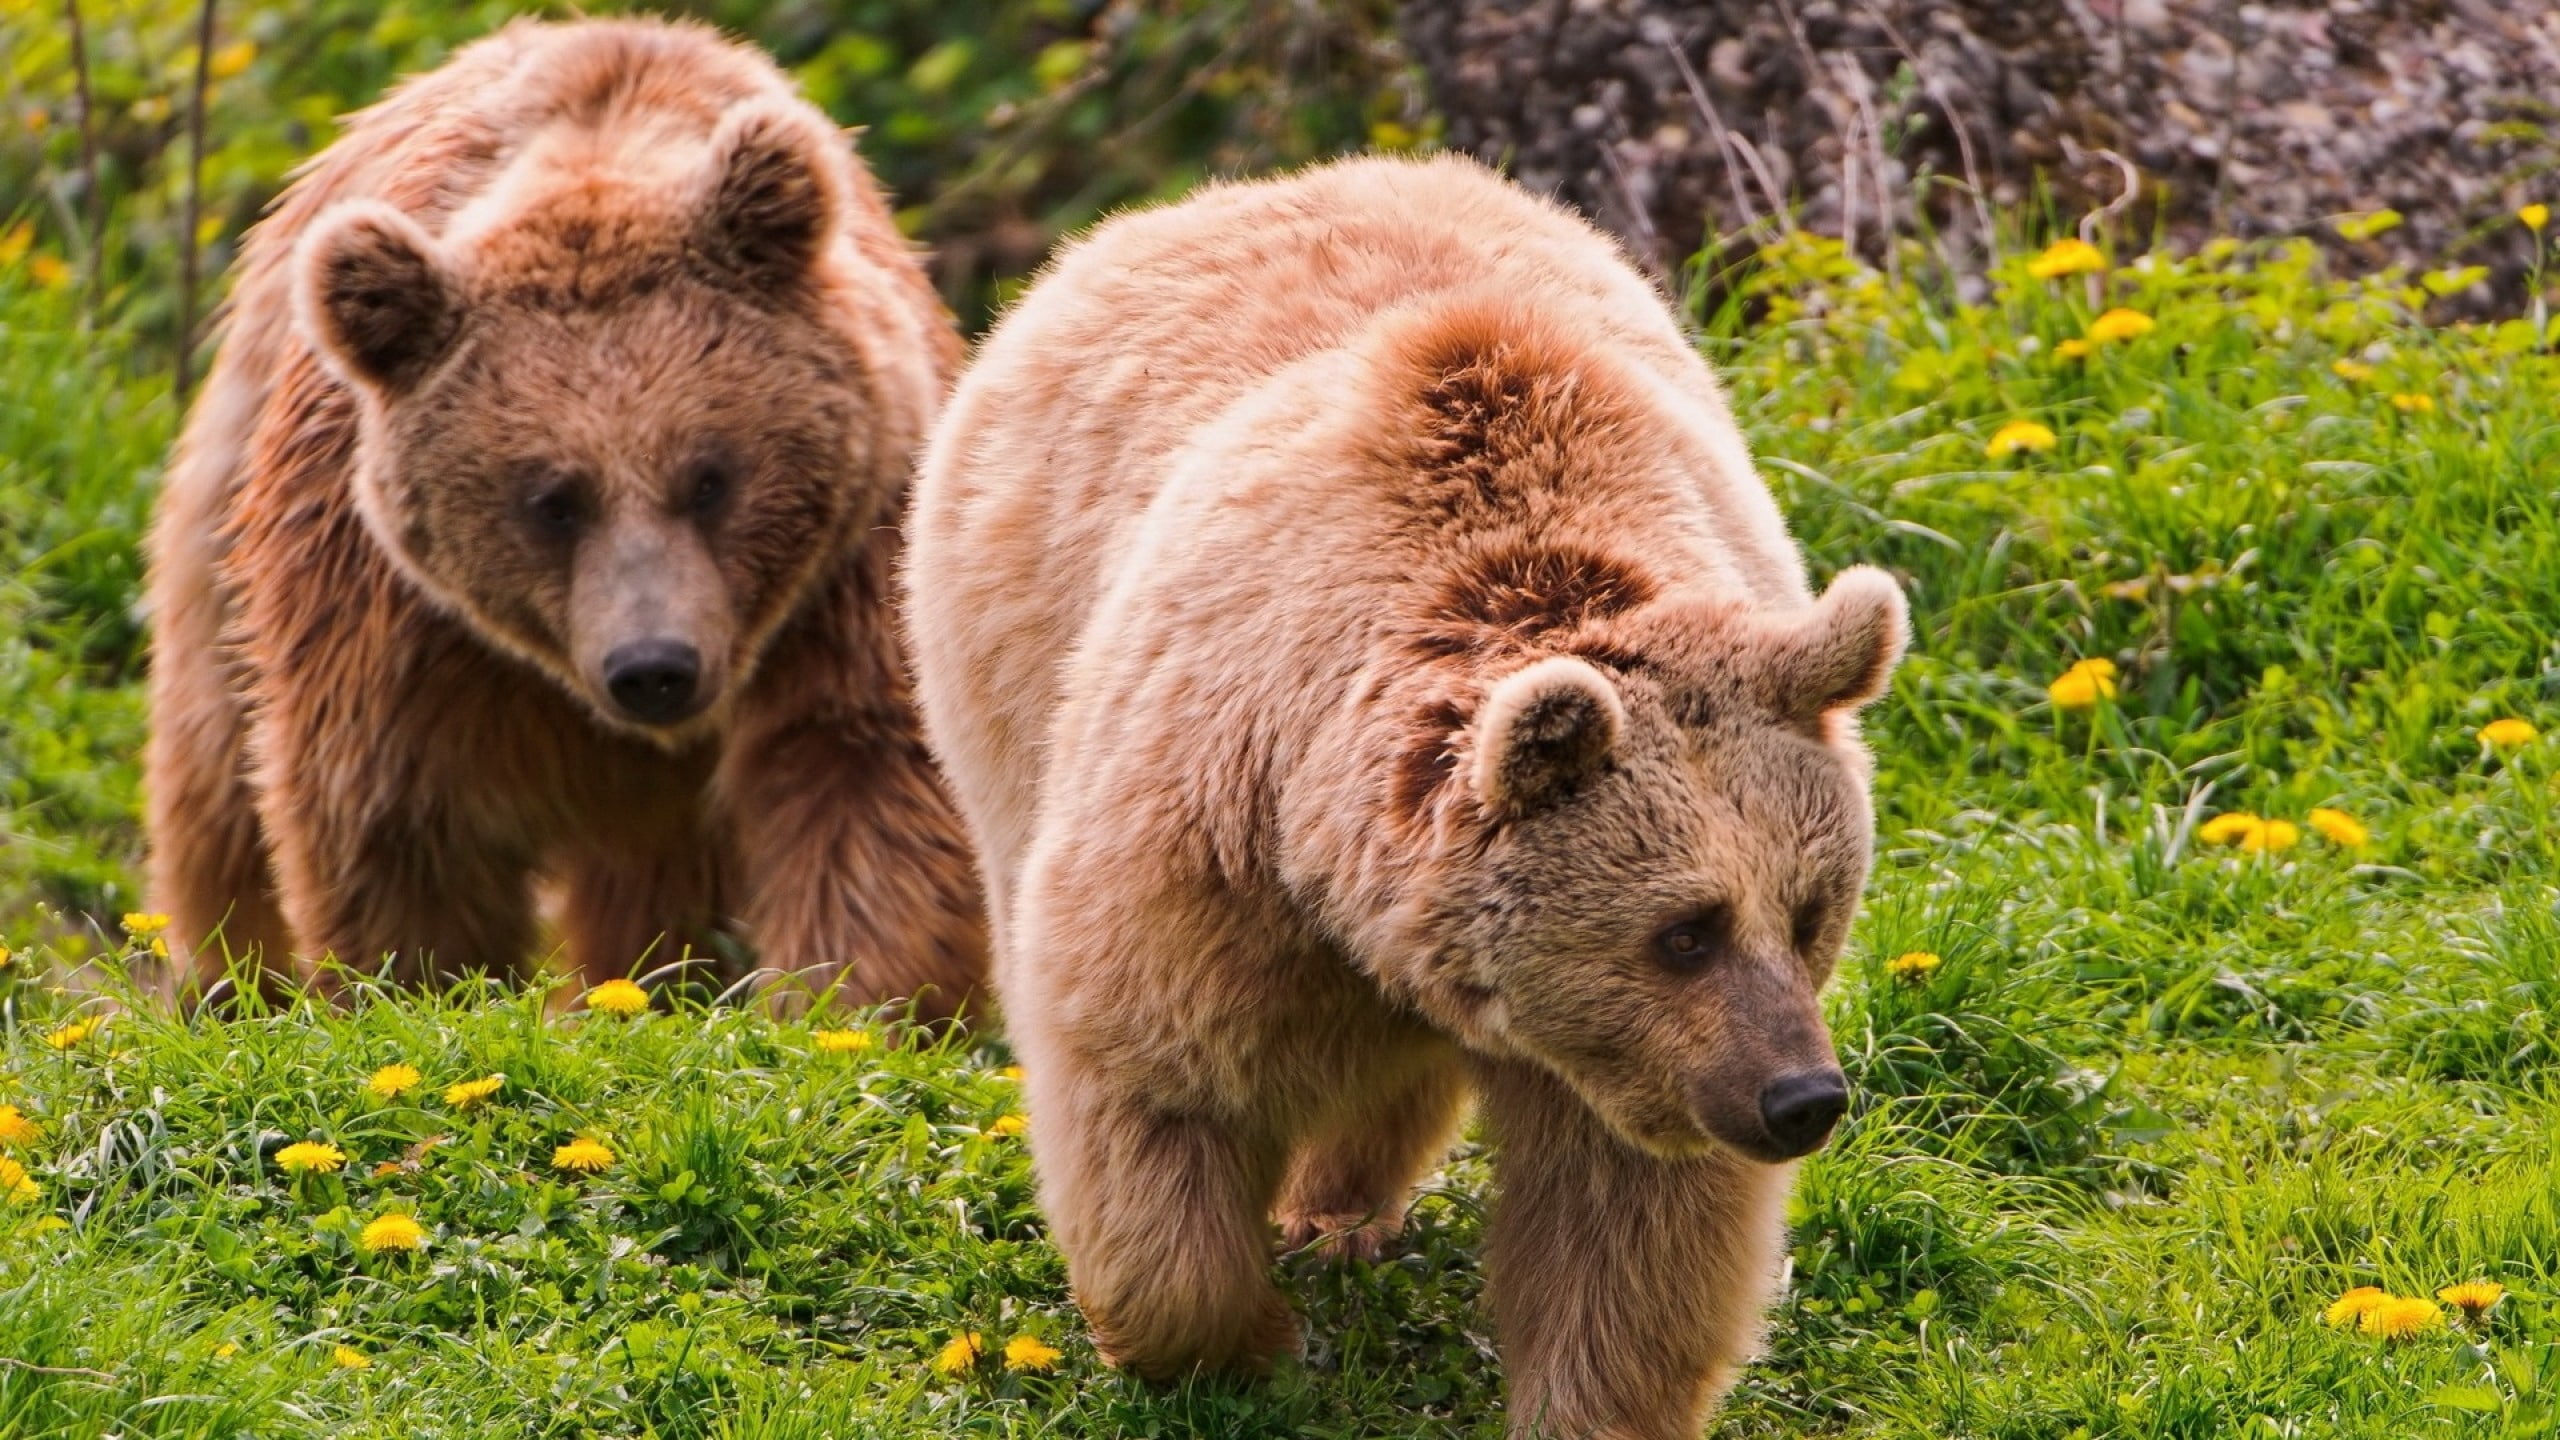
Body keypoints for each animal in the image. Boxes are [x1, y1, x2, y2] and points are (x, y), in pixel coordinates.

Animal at [143, 17, 985, 1014]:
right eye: (552, 500)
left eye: (711, 477)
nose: (654, 667)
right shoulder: (395, 620)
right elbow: (398, 820)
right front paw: (424, 985)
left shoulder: (851, 566)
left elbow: (865, 777)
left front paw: (841, 1005)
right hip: (225, 504)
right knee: (213, 768)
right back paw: (231, 979)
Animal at [903, 153, 1906, 1438]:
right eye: (1685, 929)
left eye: (1810, 910)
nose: (1800, 1098)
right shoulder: (1212, 840)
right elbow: (1152, 1079)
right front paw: (1241, 1341)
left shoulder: (1628, 1057)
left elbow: (1632, 1224)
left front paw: (1589, 1400)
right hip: (1002, 666)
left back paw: (1340, 1204)